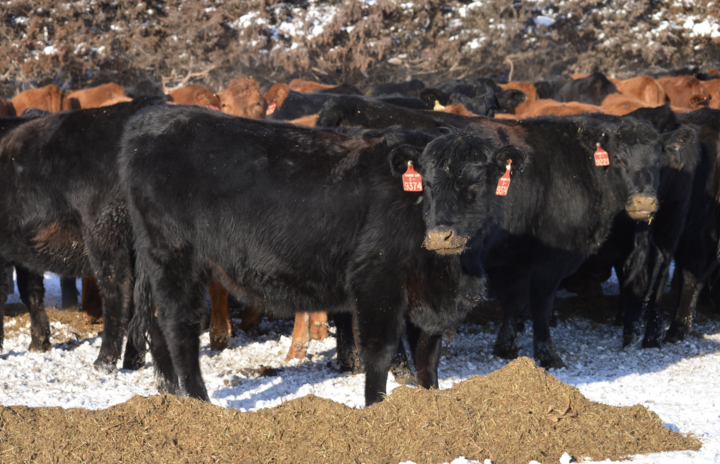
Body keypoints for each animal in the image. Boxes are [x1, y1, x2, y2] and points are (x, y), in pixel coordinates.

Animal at [0, 99, 162, 370]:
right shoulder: (22, 247)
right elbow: (31, 290)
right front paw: (40, 341)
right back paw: (133, 359)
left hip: (102, 234)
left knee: (117, 288)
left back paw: (105, 360)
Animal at [121, 106, 486, 406]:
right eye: (427, 182)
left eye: (480, 181)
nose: (442, 234)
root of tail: (151, 118)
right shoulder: (376, 279)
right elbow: (380, 351)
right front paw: (377, 408)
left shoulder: (425, 297)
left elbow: (428, 357)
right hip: (173, 256)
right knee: (178, 326)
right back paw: (199, 403)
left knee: (158, 325)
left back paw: (172, 398)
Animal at [420, 114, 660, 368]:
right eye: (617, 158)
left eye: (658, 160)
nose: (645, 201)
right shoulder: (550, 261)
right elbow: (541, 304)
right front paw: (547, 354)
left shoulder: (512, 259)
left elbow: (515, 300)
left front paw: (506, 347)